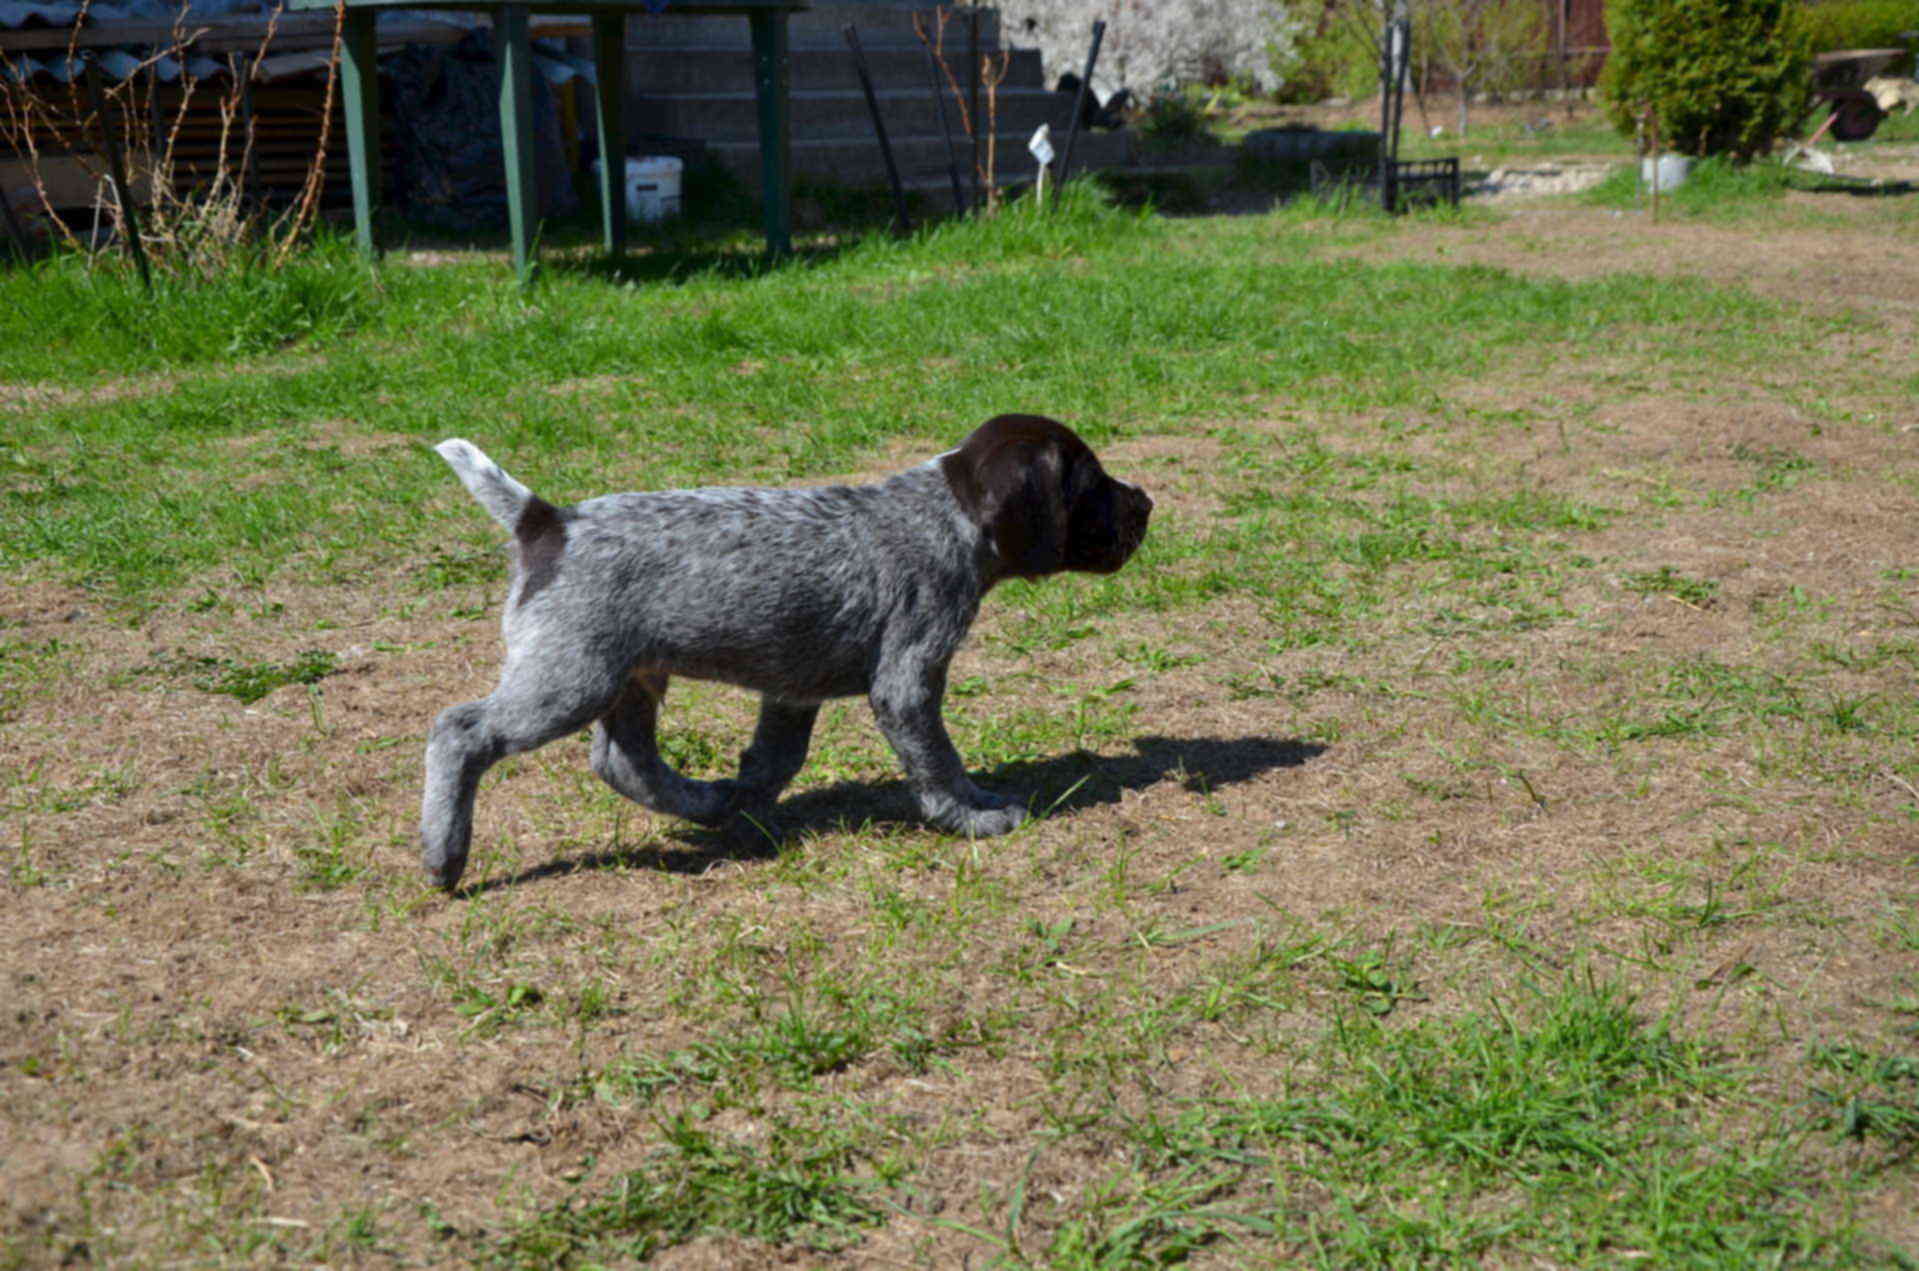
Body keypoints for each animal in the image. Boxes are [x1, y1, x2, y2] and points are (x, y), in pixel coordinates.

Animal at [422, 412, 1151, 890]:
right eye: (1091, 483)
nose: (1145, 502)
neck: (946, 513)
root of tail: (547, 521)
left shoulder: (793, 692)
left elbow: (775, 759)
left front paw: (745, 798)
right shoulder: (907, 683)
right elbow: (938, 763)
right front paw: (971, 815)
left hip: (629, 677)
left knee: (623, 762)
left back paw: (703, 802)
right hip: (571, 679)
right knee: (458, 731)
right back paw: (443, 854)